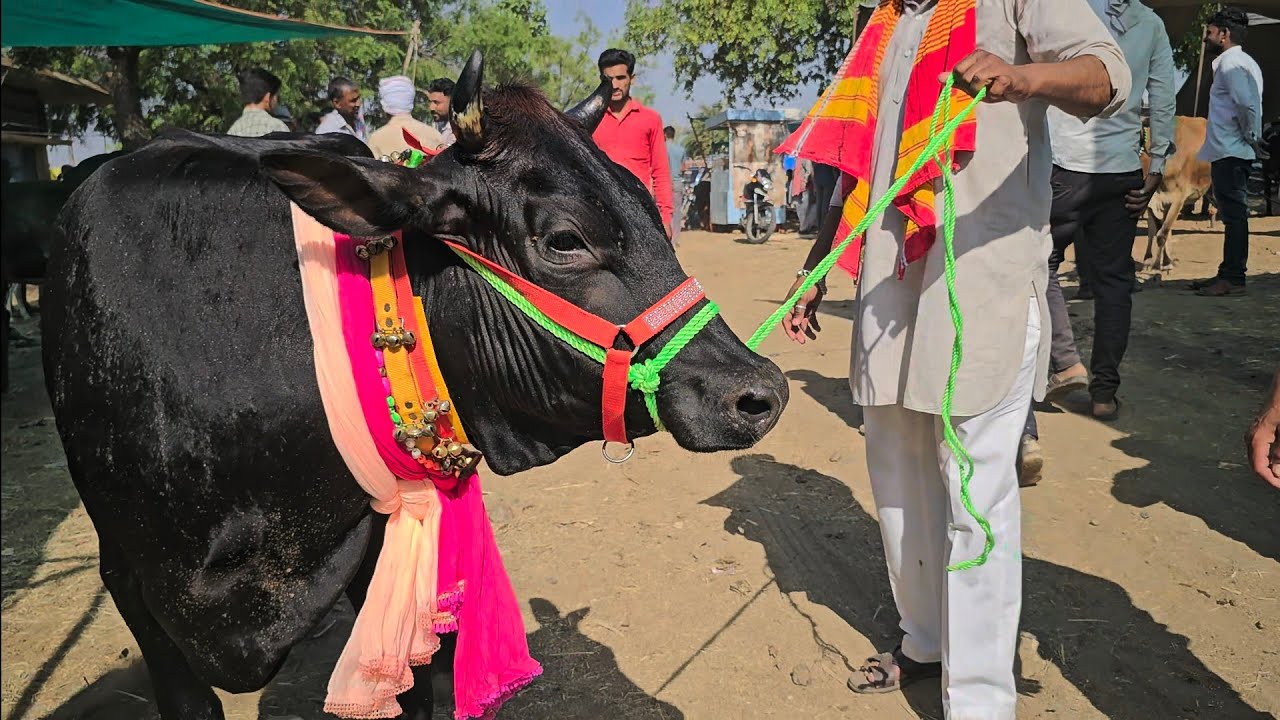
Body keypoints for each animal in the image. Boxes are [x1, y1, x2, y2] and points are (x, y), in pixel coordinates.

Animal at [1142, 116, 1214, 272]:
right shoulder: (1155, 201)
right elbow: (1156, 231)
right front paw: (1161, 261)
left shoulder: (1178, 199)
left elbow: (1162, 233)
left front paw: (1161, 265)